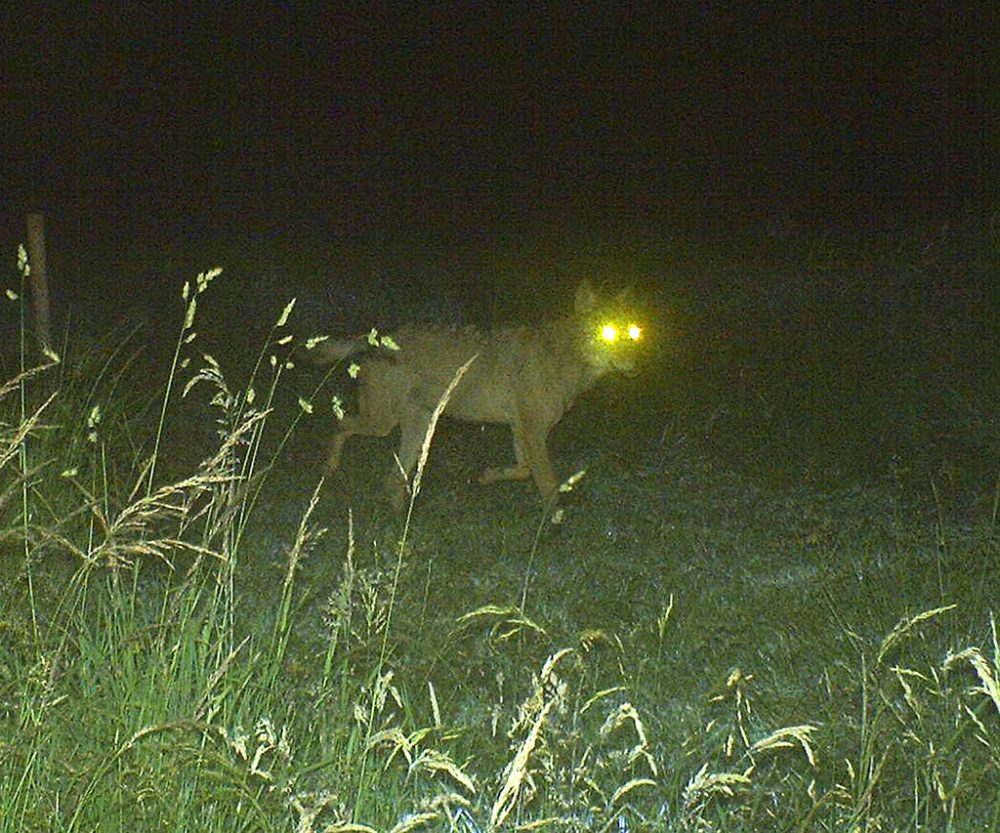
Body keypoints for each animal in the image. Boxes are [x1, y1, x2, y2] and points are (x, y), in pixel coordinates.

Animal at [304, 280, 644, 508]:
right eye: (608, 333)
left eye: (632, 333)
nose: (635, 366)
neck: (565, 358)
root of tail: (376, 338)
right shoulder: (533, 432)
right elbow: (548, 485)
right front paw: (552, 530)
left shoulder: (521, 430)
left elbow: (522, 471)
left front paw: (487, 476)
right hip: (381, 424)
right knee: (341, 427)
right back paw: (329, 469)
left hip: (417, 429)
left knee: (392, 480)